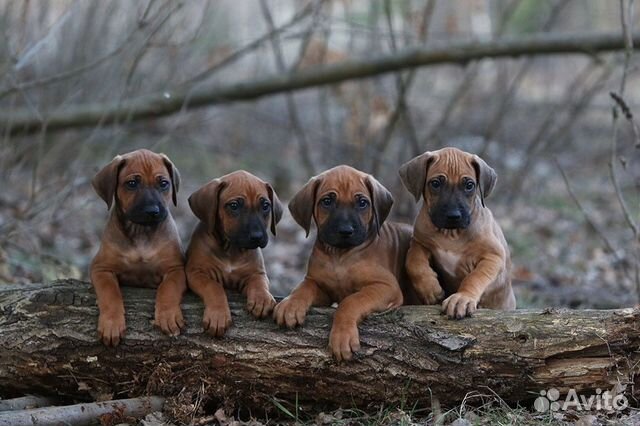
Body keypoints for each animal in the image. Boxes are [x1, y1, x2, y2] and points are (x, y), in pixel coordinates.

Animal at [90, 150, 186, 346]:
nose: (152, 211)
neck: (141, 231)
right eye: (132, 183)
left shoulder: (176, 268)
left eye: (163, 183)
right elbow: (109, 291)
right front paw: (111, 323)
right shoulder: (101, 268)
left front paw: (168, 316)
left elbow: (169, 288)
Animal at [186, 171, 284, 338]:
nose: (257, 237)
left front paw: (262, 298)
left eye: (265, 206)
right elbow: (214, 286)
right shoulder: (196, 272)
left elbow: (259, 282)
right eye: (234, 206)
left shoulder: (256, 272)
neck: (231, 250)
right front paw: (218, 315)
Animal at [274, 166, 412, 360]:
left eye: (362, 203)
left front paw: (342, 337)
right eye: (327, 202)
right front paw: (291, 304)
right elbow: (304, 287)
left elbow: (351, 301)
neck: (340, 256)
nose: (345, 231)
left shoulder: (386, 286)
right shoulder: (321, 287)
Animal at [400, 148, 516, 318]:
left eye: (469, 185)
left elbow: (475, 277)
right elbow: (413, 261)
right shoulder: (419, 242)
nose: (453, 216)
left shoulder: (493, 256)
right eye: (435, 184)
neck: (451, 234)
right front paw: (429, 289)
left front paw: (462, 298)